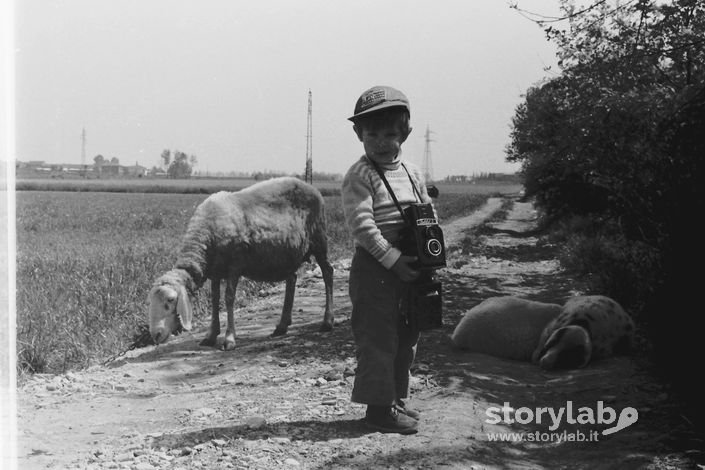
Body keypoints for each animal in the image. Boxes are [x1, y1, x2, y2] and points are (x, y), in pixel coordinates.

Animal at [147, 176, 334, 348]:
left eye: (170, 300)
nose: (155, 335)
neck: (205, 237)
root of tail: (310, 186)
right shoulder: (216, 271)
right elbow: (215, 299)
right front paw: (211, 335)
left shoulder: (235, 265)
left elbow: (229, 298)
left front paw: (229, 338)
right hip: (286, 253)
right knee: (292, 279)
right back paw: (282, 326)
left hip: (319, 239)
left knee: (327, 272)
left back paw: (327, 322)